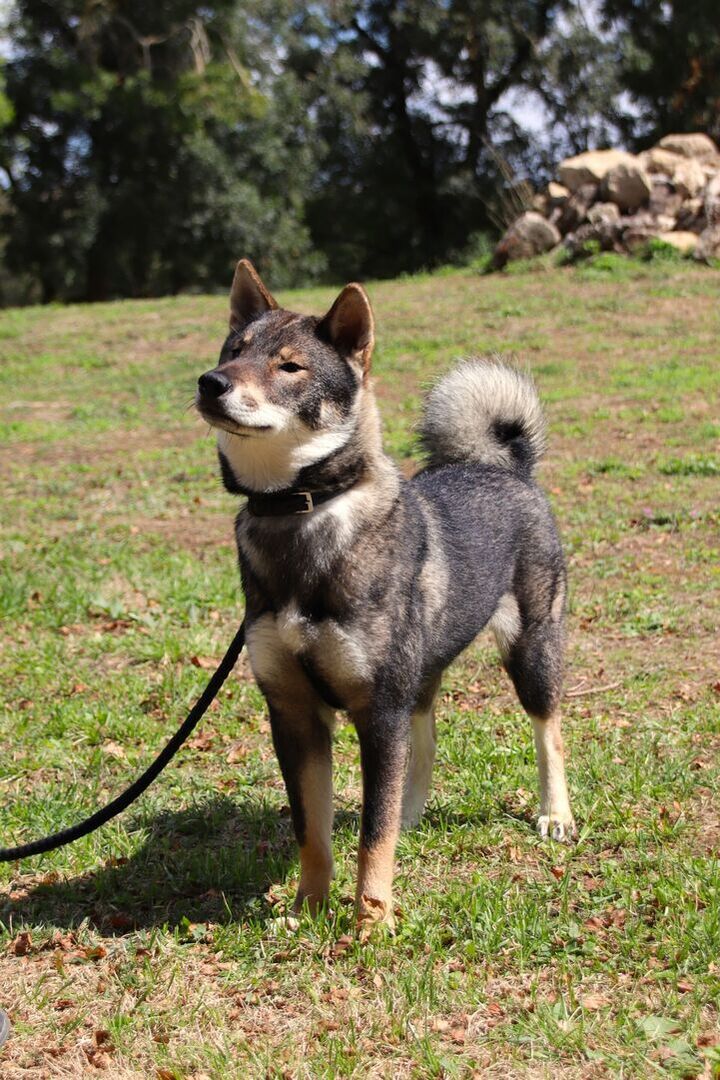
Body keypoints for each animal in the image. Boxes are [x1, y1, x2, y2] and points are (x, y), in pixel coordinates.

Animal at [195, 259, 575, 933]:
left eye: (290, 367)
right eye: (234, 351)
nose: (210, 383)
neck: (302, 512)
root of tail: (505, 466)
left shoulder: (377, 711)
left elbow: (372, 835)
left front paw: (372, 921)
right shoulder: (294, 716)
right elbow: (313, 831)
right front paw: (309, 907)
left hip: (531, 650)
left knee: (547, 729)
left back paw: (556, 813)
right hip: (420, 672)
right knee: (425, 735)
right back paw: (412, 811)